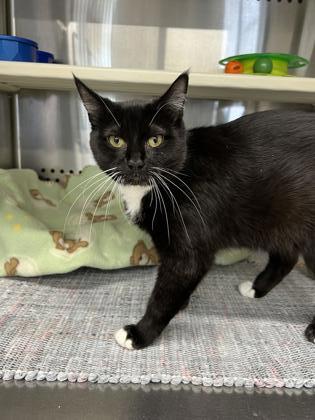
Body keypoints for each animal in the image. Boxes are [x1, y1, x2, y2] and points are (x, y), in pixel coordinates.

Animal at [75, 73, 315, 352]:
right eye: (116, 140)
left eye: (155, 140)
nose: (135, 162)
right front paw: (181, 303)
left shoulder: (190, 249)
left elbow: (168, 290)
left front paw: (140, 333)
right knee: (286, 255)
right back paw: (256, 288)